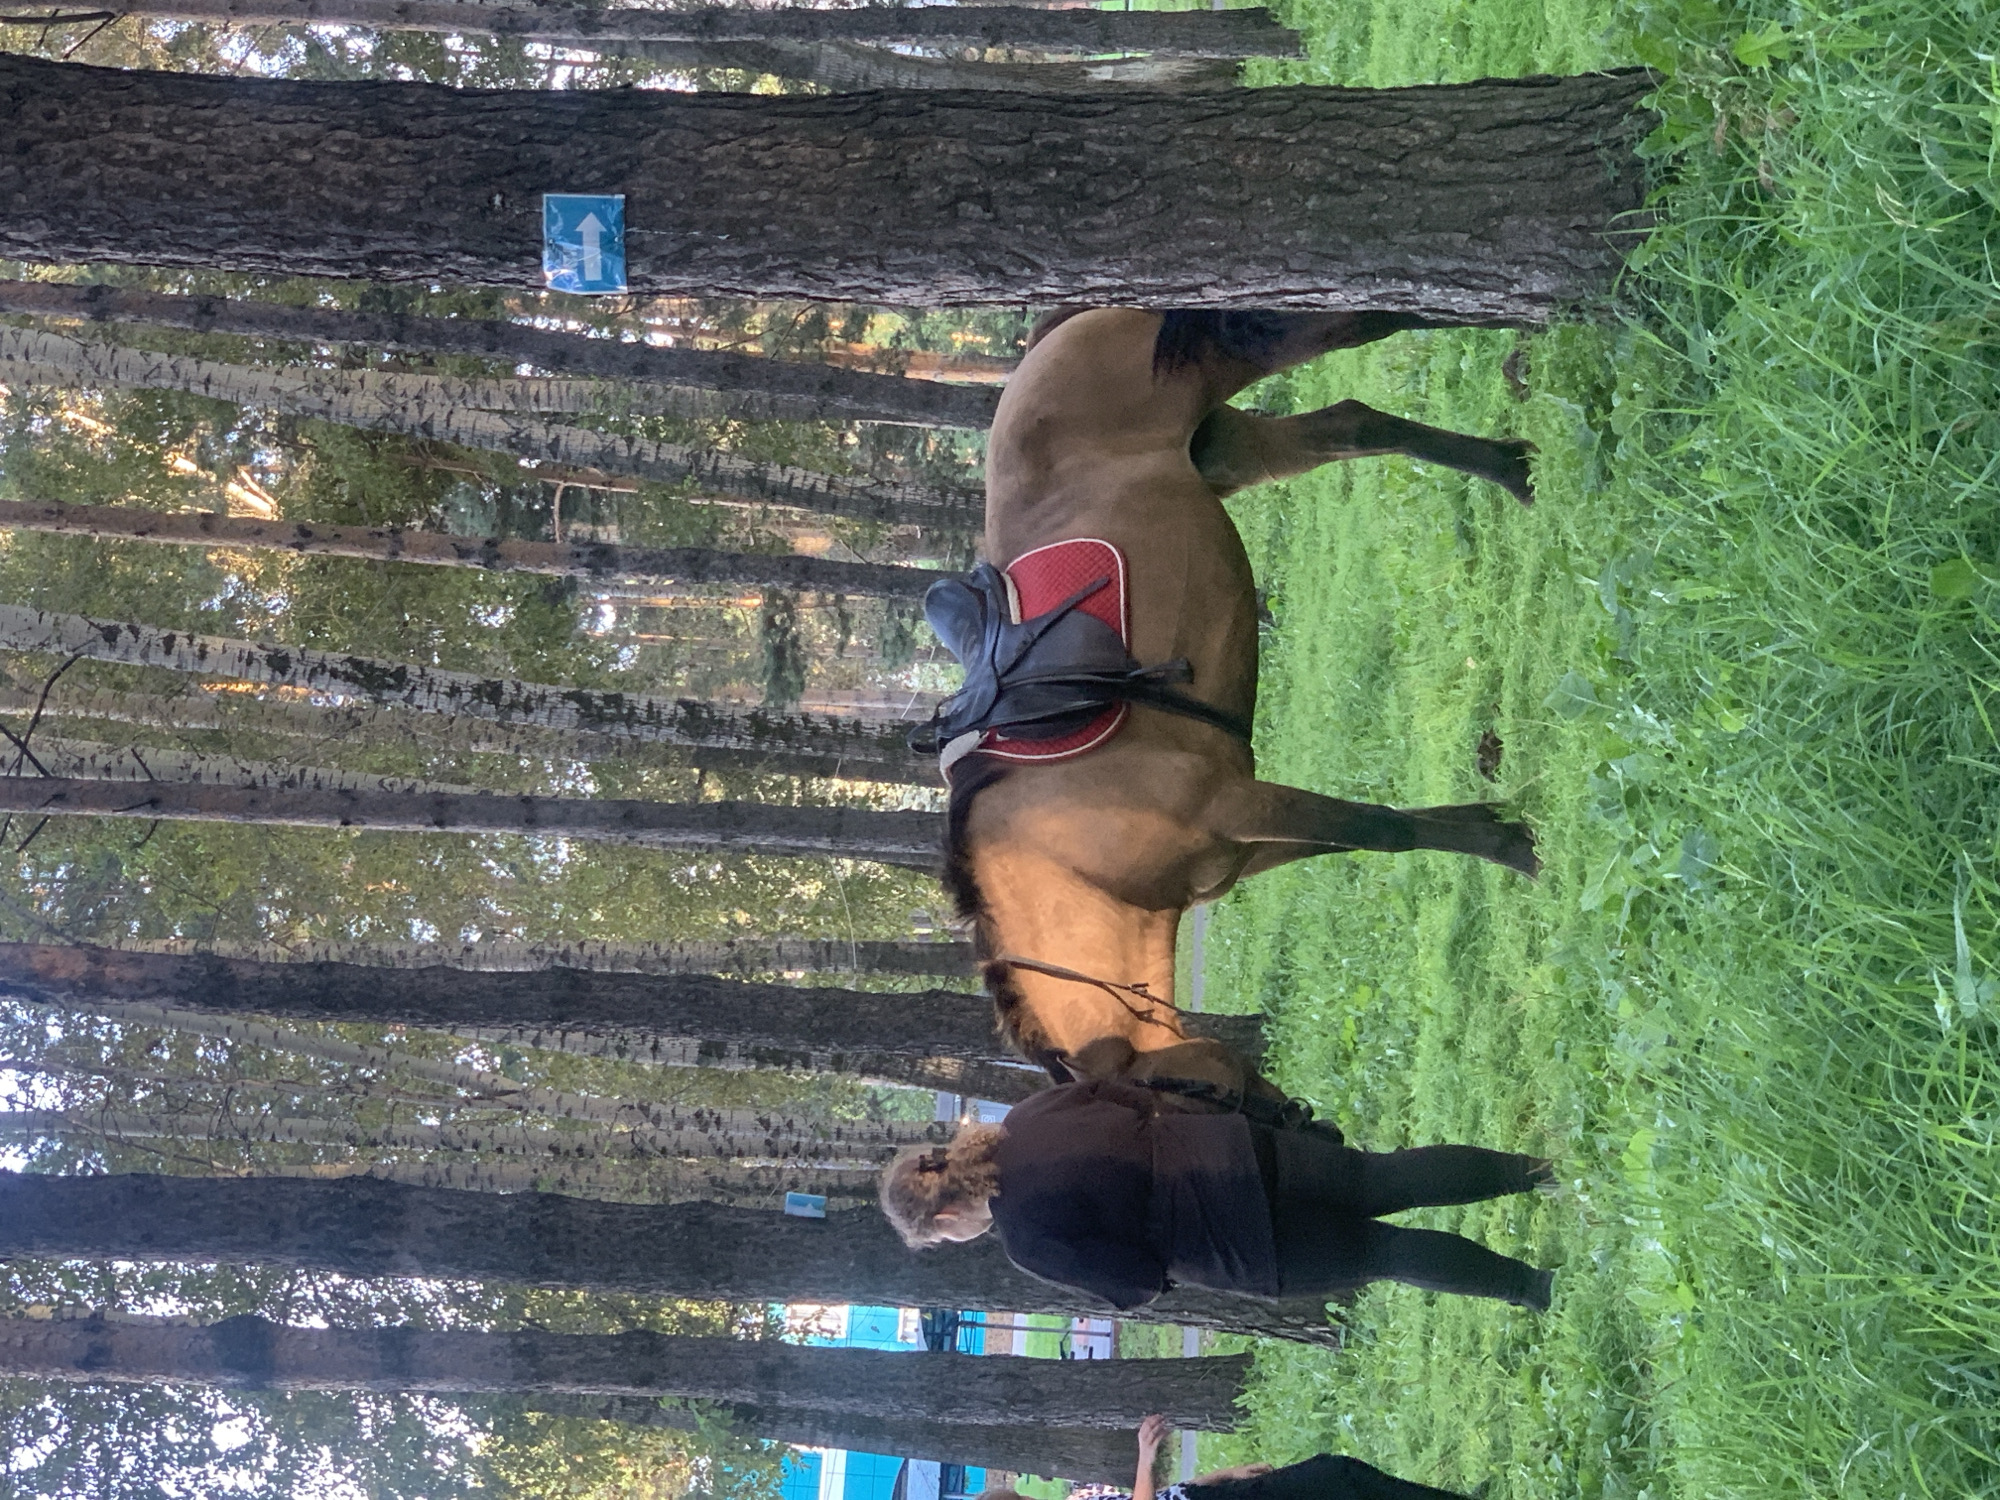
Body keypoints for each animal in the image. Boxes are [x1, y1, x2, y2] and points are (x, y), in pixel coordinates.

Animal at [936, 308, 1540, 1104]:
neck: (1070, 855)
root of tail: (1040, 345)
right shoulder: (1241, 847)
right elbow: (1371, 833)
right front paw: (1489, 824)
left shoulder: (1233, 804)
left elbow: (1380, 831)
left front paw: (1513, 848)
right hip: (1227, 448)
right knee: (1351, 426)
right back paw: (1511, 470)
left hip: (1221, 363)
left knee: (1347, 327)